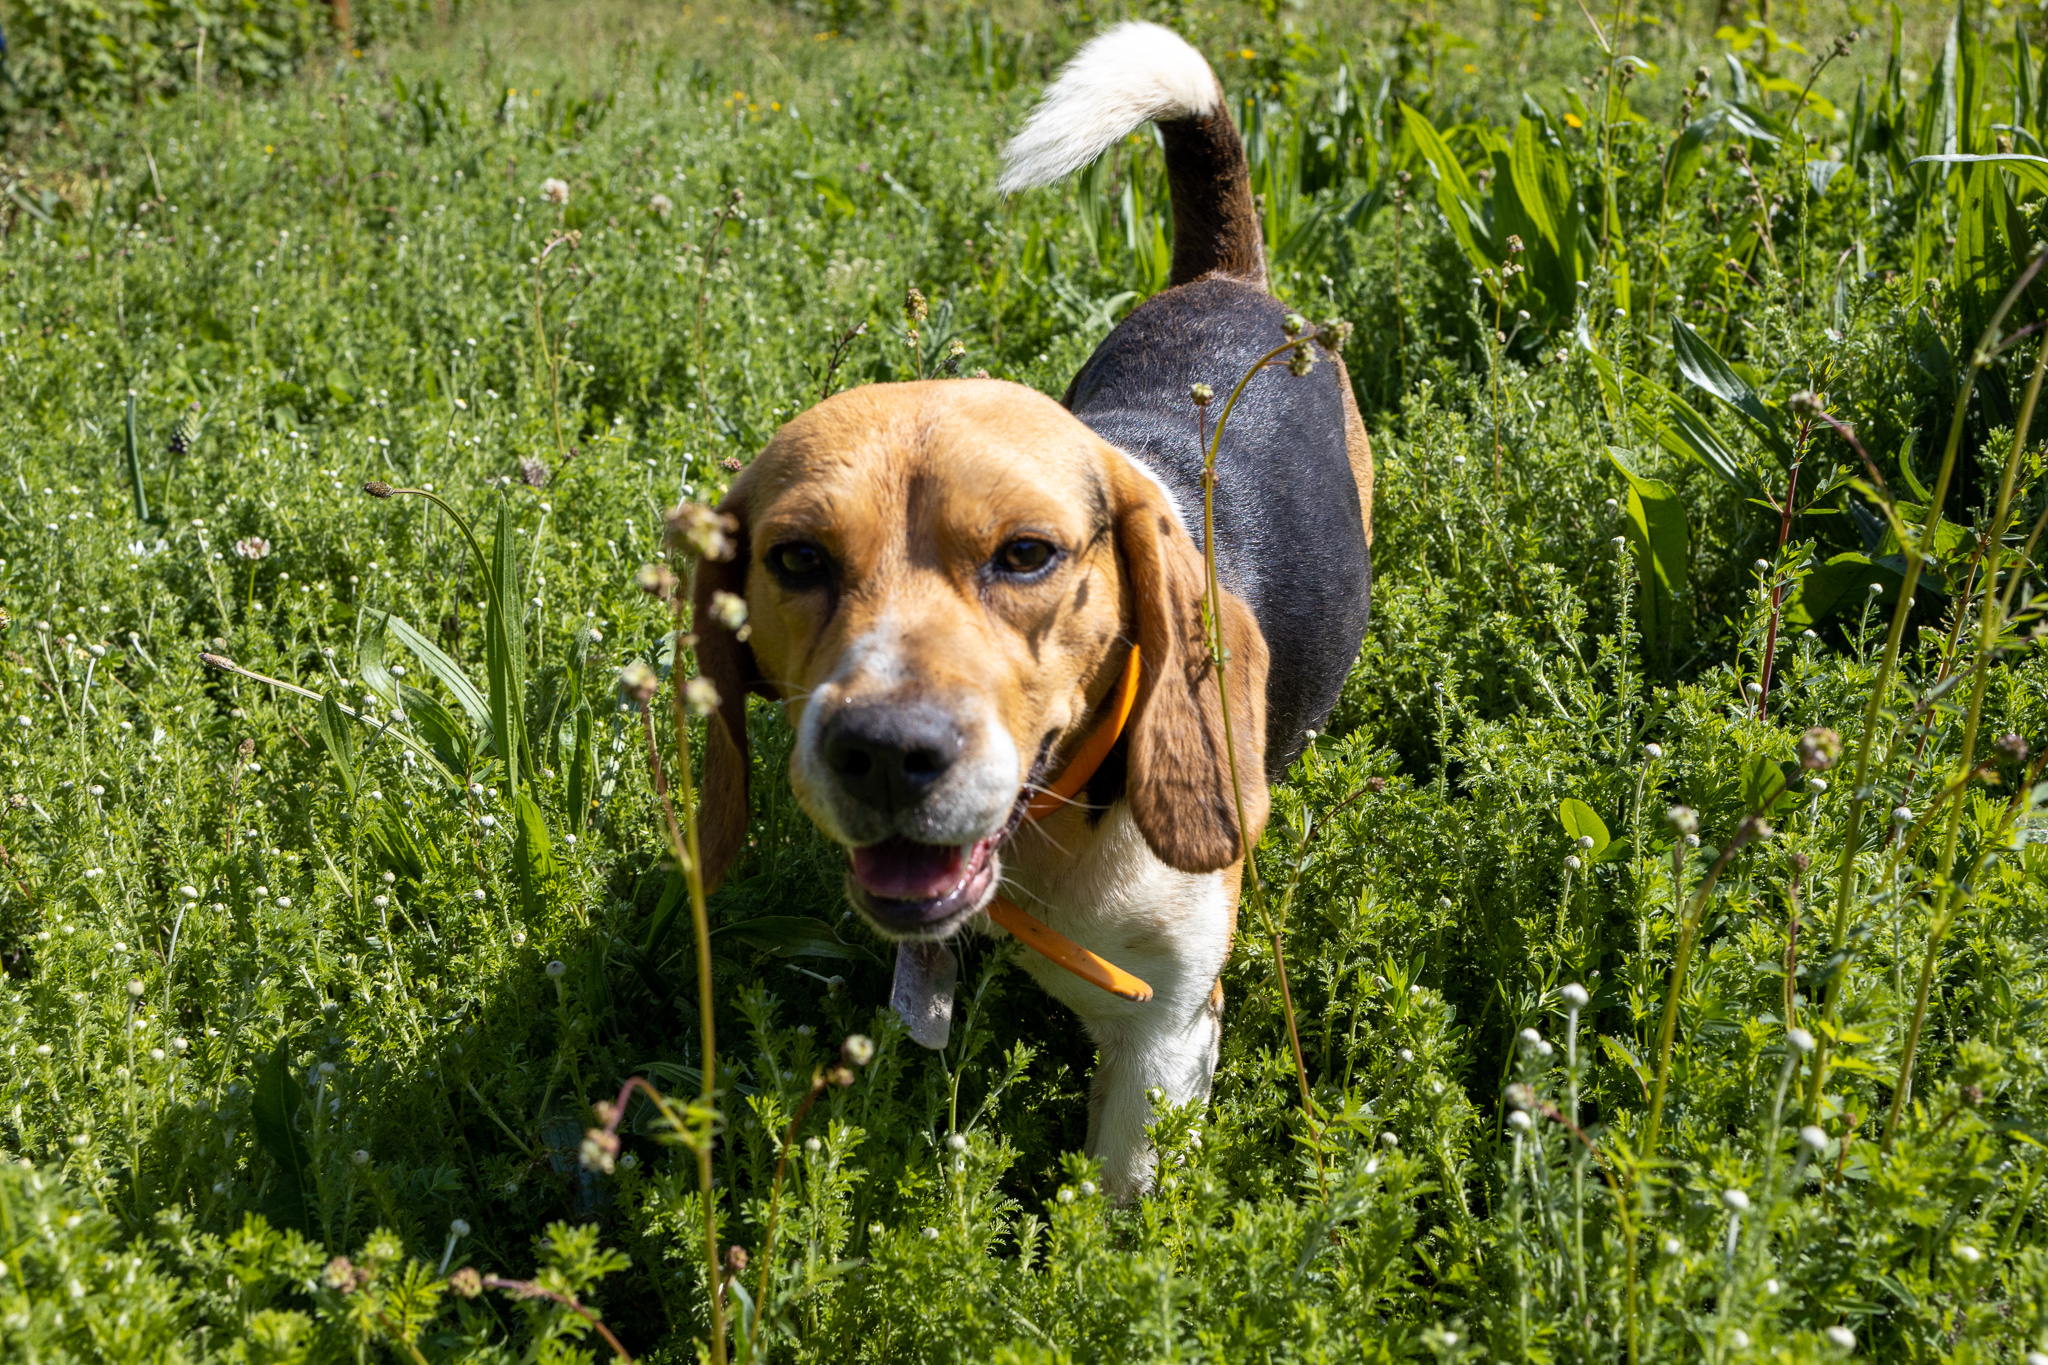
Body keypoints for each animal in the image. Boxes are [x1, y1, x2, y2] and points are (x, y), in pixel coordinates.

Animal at [692, 18, 1376, 1195]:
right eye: (796, 558)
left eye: (1026, 555)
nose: (887, 751)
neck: (1056, 829)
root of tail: (1226, 278)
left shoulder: (1169, 1030)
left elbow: (1116, 1198)